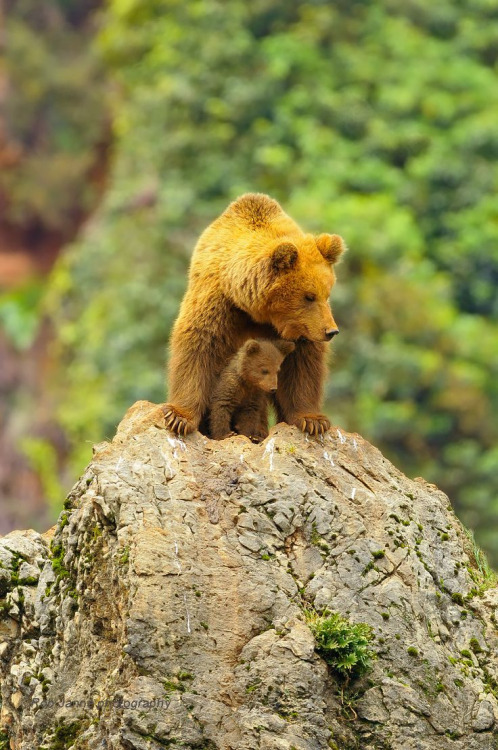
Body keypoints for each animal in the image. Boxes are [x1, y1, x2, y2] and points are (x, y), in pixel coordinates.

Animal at [163, 194, 346, 438]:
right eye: (309, 296)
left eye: (327, 294)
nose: (331, 331)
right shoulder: (219, 304)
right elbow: (198, 347)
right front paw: (179, 417)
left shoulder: (299, 330)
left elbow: (302, 366)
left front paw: (312, 420)